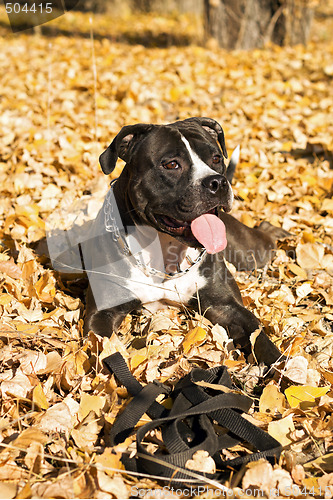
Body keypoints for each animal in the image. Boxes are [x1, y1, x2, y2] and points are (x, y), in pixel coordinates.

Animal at [82, 118, 286, 366]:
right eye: (171, 164)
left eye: (216, 158)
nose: (218, 181)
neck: (165, 252)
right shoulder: (102, 314)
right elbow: (111, 354)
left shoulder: (227, 306)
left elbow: (262, 341)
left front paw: (285, 370)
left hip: (251, 252)